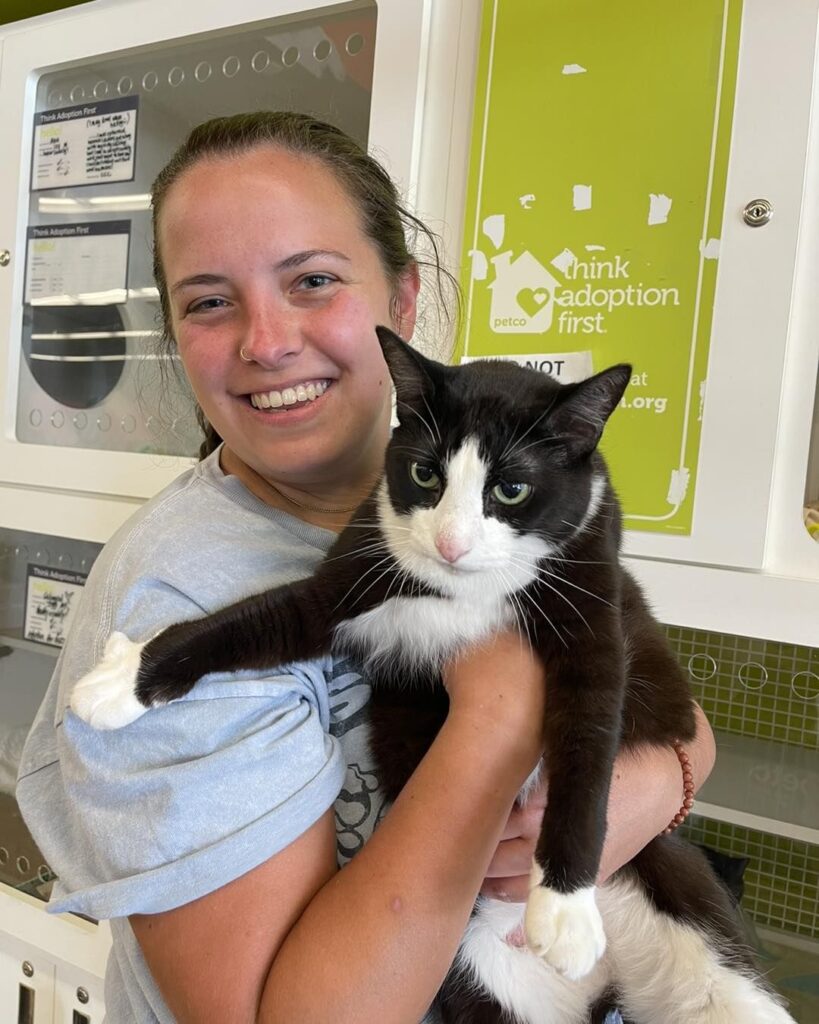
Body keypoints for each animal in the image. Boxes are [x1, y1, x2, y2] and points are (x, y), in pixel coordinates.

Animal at [68, 327, 794, 1024]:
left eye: (511, 488)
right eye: (424, 474)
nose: (451, 544)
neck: (462, 592)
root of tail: (599, 991)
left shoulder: (592, 610)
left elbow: (588, 738)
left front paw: (564, 907)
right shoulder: (351, 578)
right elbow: (247, 623)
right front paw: (119, 684)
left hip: (682, 911)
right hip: (477, 980)